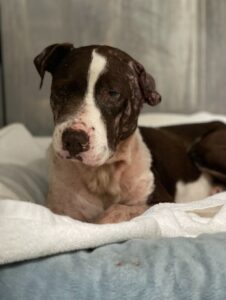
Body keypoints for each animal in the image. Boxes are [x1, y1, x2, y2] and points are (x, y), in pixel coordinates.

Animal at [33, 44, 226, 223]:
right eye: (62, 89)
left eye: (113, 93)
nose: (74, 139)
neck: (102, 173)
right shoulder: (60, 208)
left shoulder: (162, 202)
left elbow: (119, 210)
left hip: (204, 148)